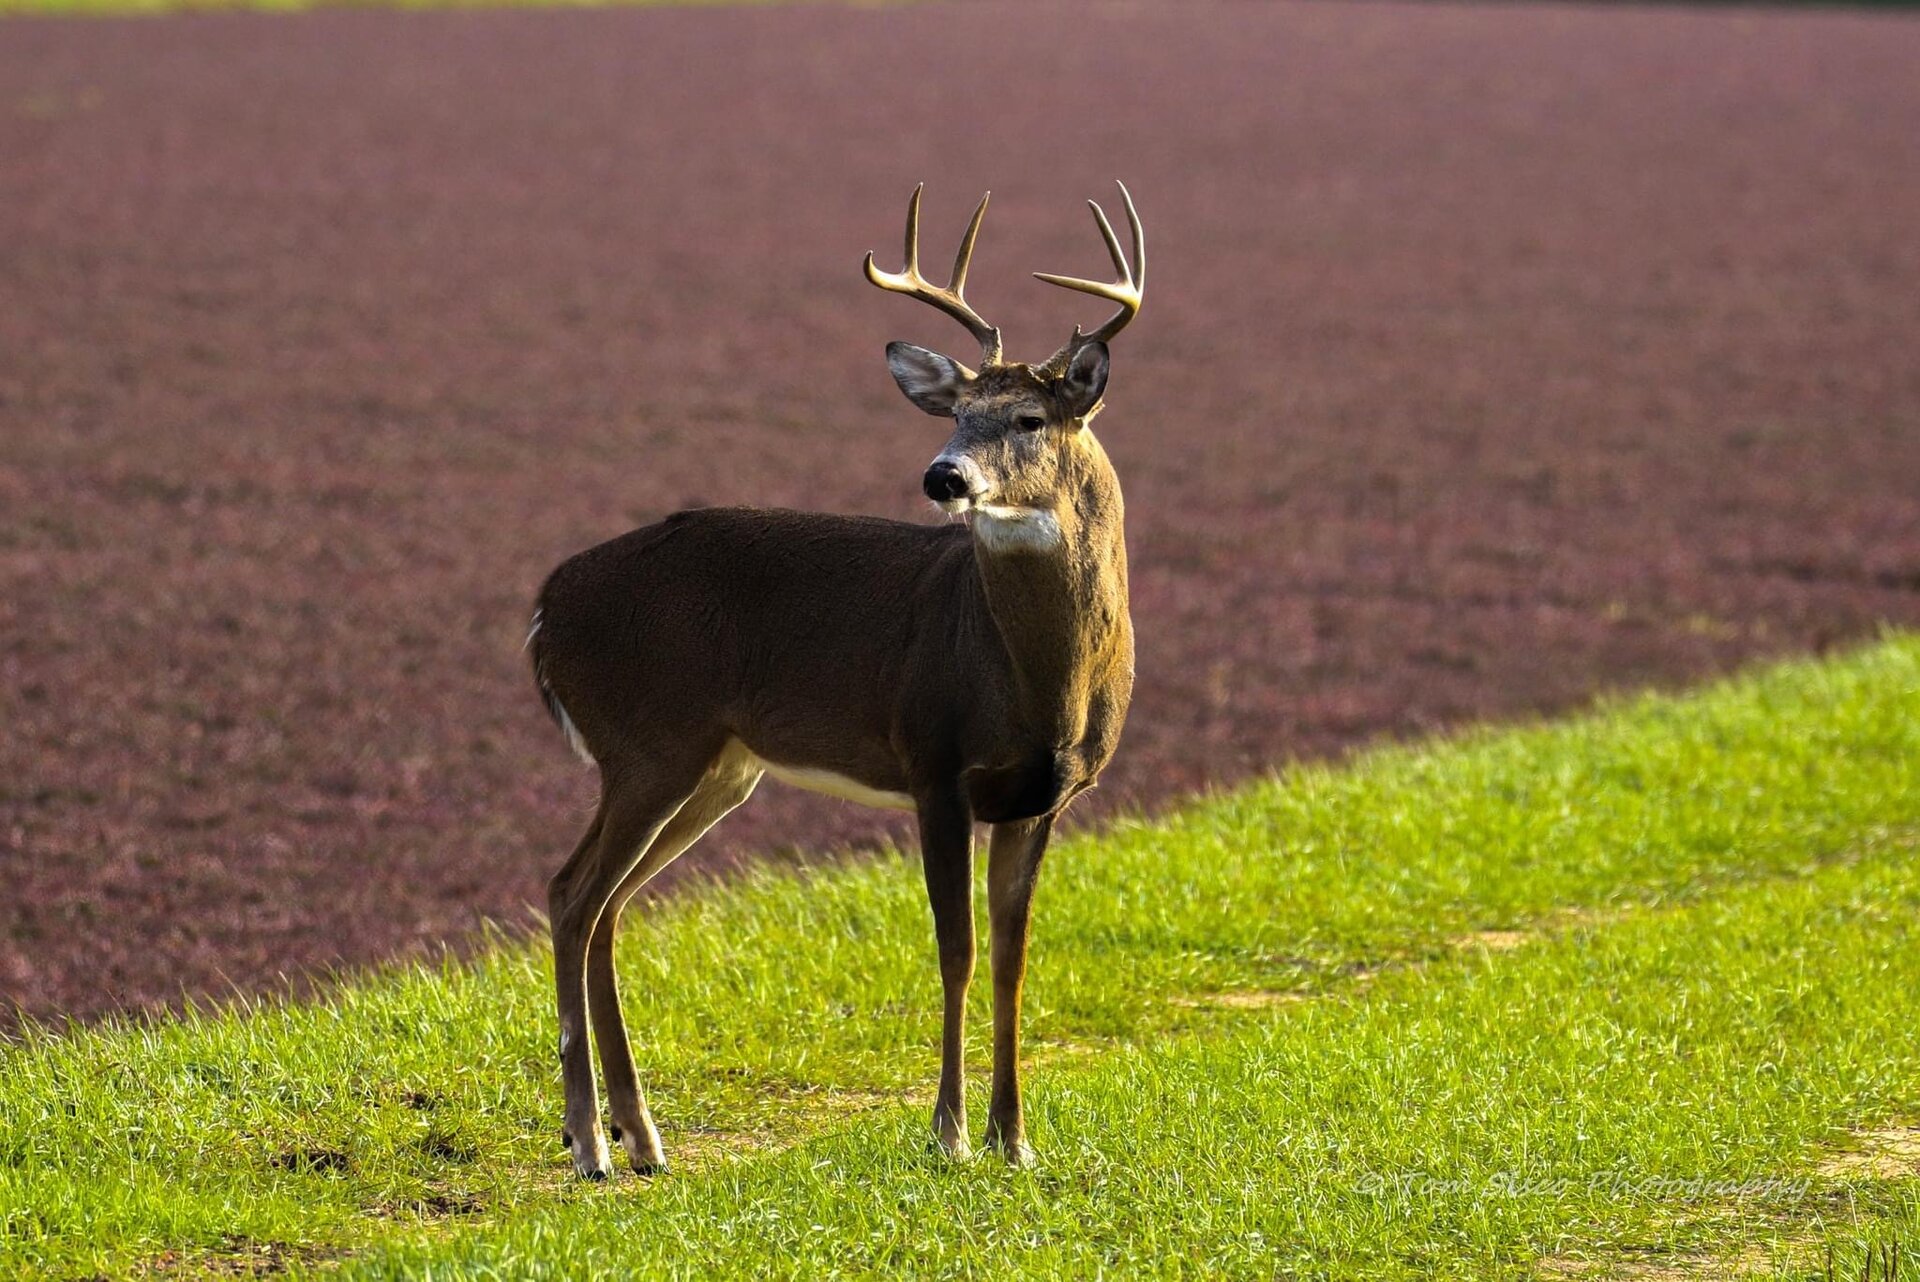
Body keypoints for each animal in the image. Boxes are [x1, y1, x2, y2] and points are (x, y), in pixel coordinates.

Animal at [526, 183, 1144, 1180]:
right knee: (571, 892)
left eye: (1029, 419)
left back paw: (642, 1137)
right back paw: (590, 1143)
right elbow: (956, 948)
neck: (1036, 683)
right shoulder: (935, 761)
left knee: (607, 904)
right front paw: (950, 1134)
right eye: (953, 415)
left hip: (716, 769)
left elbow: (1013, 956)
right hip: (647, 743)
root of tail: (544, 610)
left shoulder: (1046, 796)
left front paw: (1016, 1139)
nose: (943, 476)